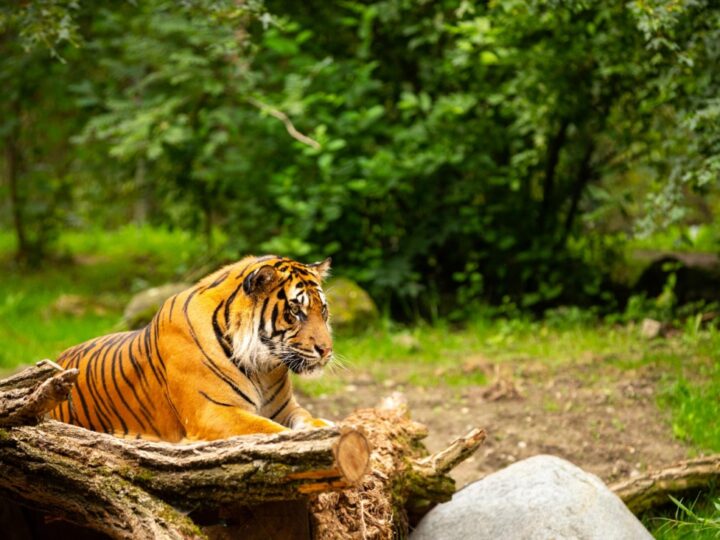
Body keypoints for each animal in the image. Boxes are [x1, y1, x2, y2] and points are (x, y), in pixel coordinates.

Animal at [49, 255, 336, 440]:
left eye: (322, 310)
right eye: (296, 311)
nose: (326, 350)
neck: (263, 368)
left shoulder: (286, 408)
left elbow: (308, 418)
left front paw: (325, 426)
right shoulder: (214, 413)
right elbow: (270, 431)